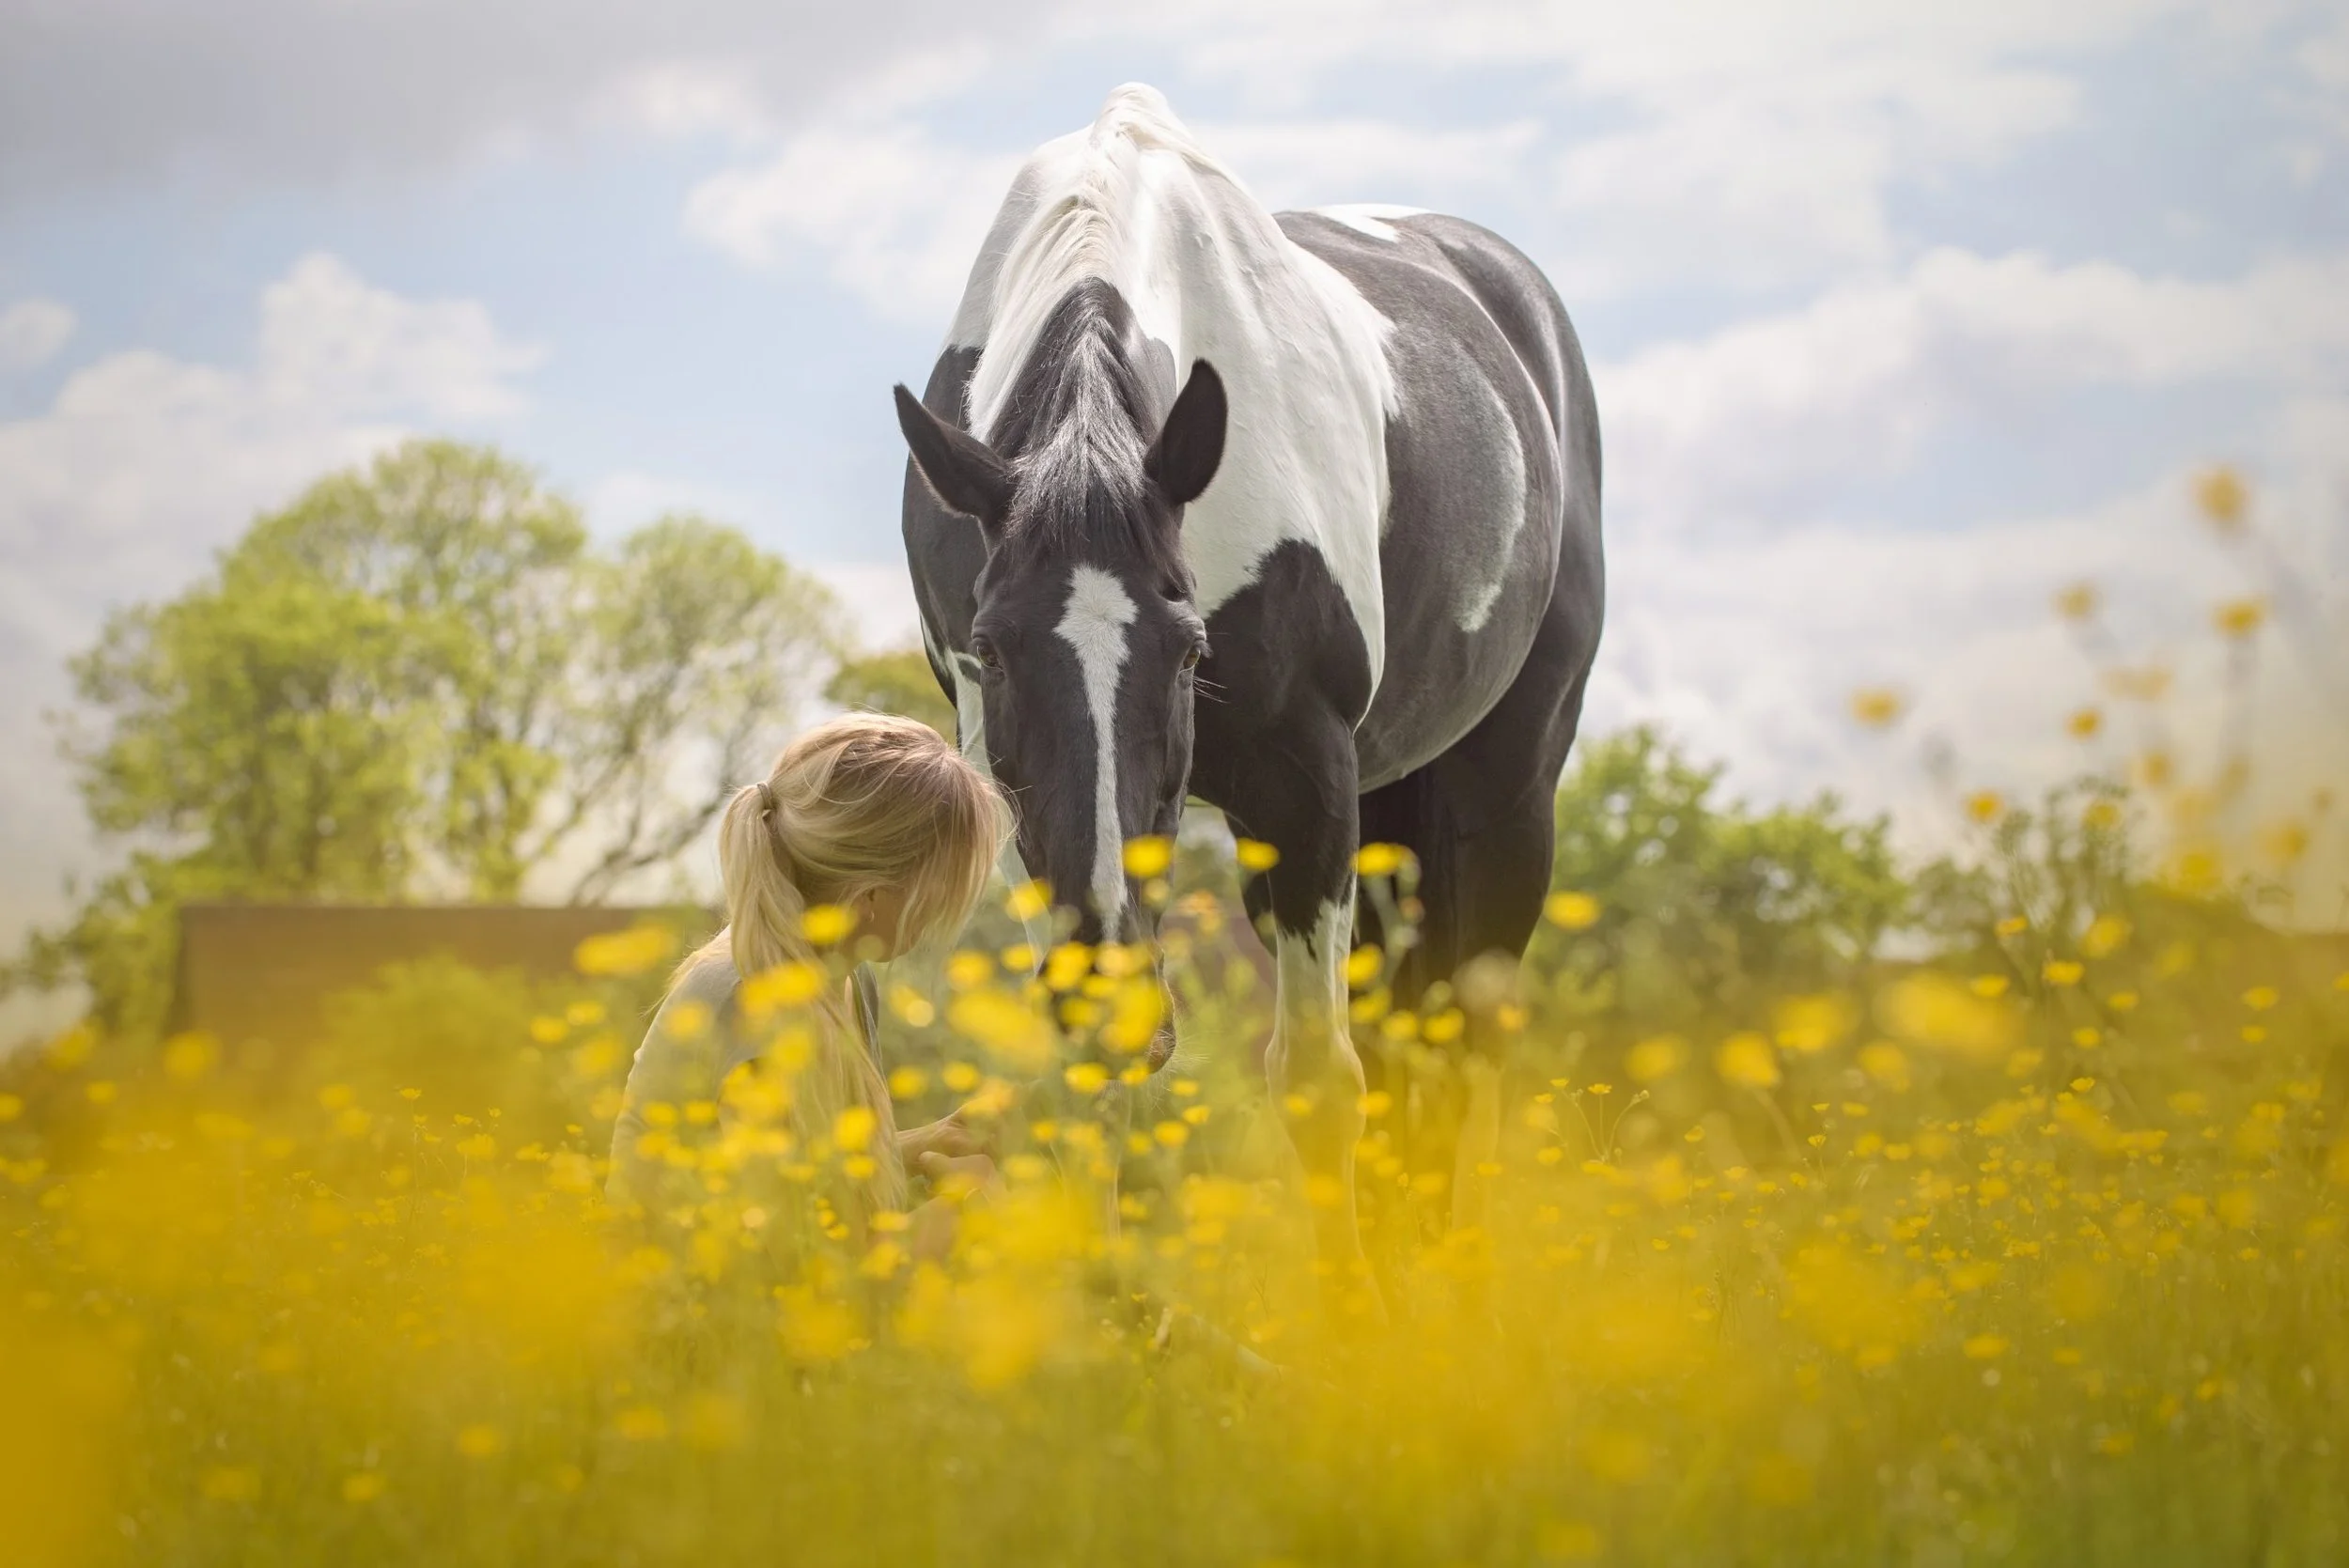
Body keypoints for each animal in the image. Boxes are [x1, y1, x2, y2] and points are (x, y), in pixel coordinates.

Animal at [894, 85, 1603, 1301]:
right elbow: (1085, 1075)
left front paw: (1350, 1321)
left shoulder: (1305, 783)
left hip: (1505, 794)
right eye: (991, 647)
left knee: (1468, 1046)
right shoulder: (1030, 807)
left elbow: (1319, 1080)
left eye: (1190, 652)